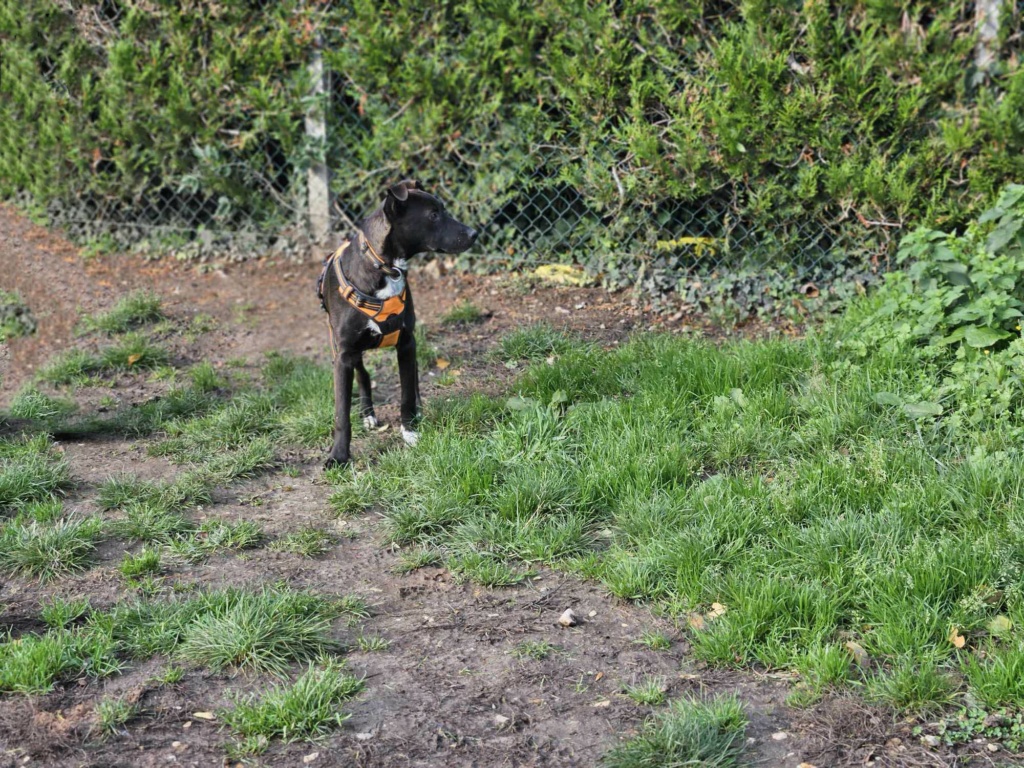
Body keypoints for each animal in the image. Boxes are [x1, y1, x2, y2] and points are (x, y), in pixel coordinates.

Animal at [317, 181, 477, 468]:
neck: (386, 268)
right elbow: (341, 413)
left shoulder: (406, 342)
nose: (475, 233)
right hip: (349, 350)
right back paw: (368, 414)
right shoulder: (344, 353)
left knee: (411, 380)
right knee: (364, 374)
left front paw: (410, 431)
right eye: (433, 215)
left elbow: (406, 393)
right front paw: (338, 455)